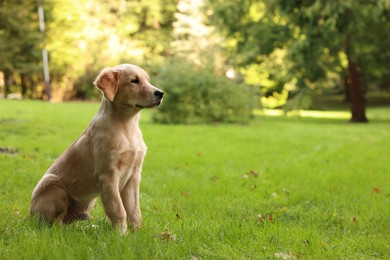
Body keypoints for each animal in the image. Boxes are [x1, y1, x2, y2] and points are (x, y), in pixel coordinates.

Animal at [30, 63, 163, 234]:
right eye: (134, 81)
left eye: (148, 80)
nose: (160, 93)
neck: (127, 125)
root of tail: (28, 216)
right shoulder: (108, 175)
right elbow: (118, 209)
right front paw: (121, 234)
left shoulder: (134, 175)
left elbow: (134, 210)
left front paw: (136, 234)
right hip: (53, 184)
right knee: (54, 223)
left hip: (90, 200)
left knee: (68, 220)